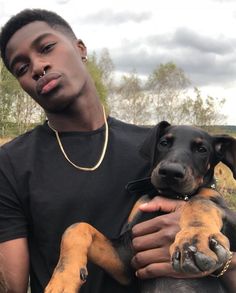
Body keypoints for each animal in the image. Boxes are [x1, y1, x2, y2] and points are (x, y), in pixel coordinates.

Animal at [45, 121, 235, 292]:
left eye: (202, 150)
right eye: (164, 143)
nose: (170, 172)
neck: (170, 195)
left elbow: (199, 202)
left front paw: (194, 239)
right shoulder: (126, 261)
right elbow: (76, 227)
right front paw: (63, 279)